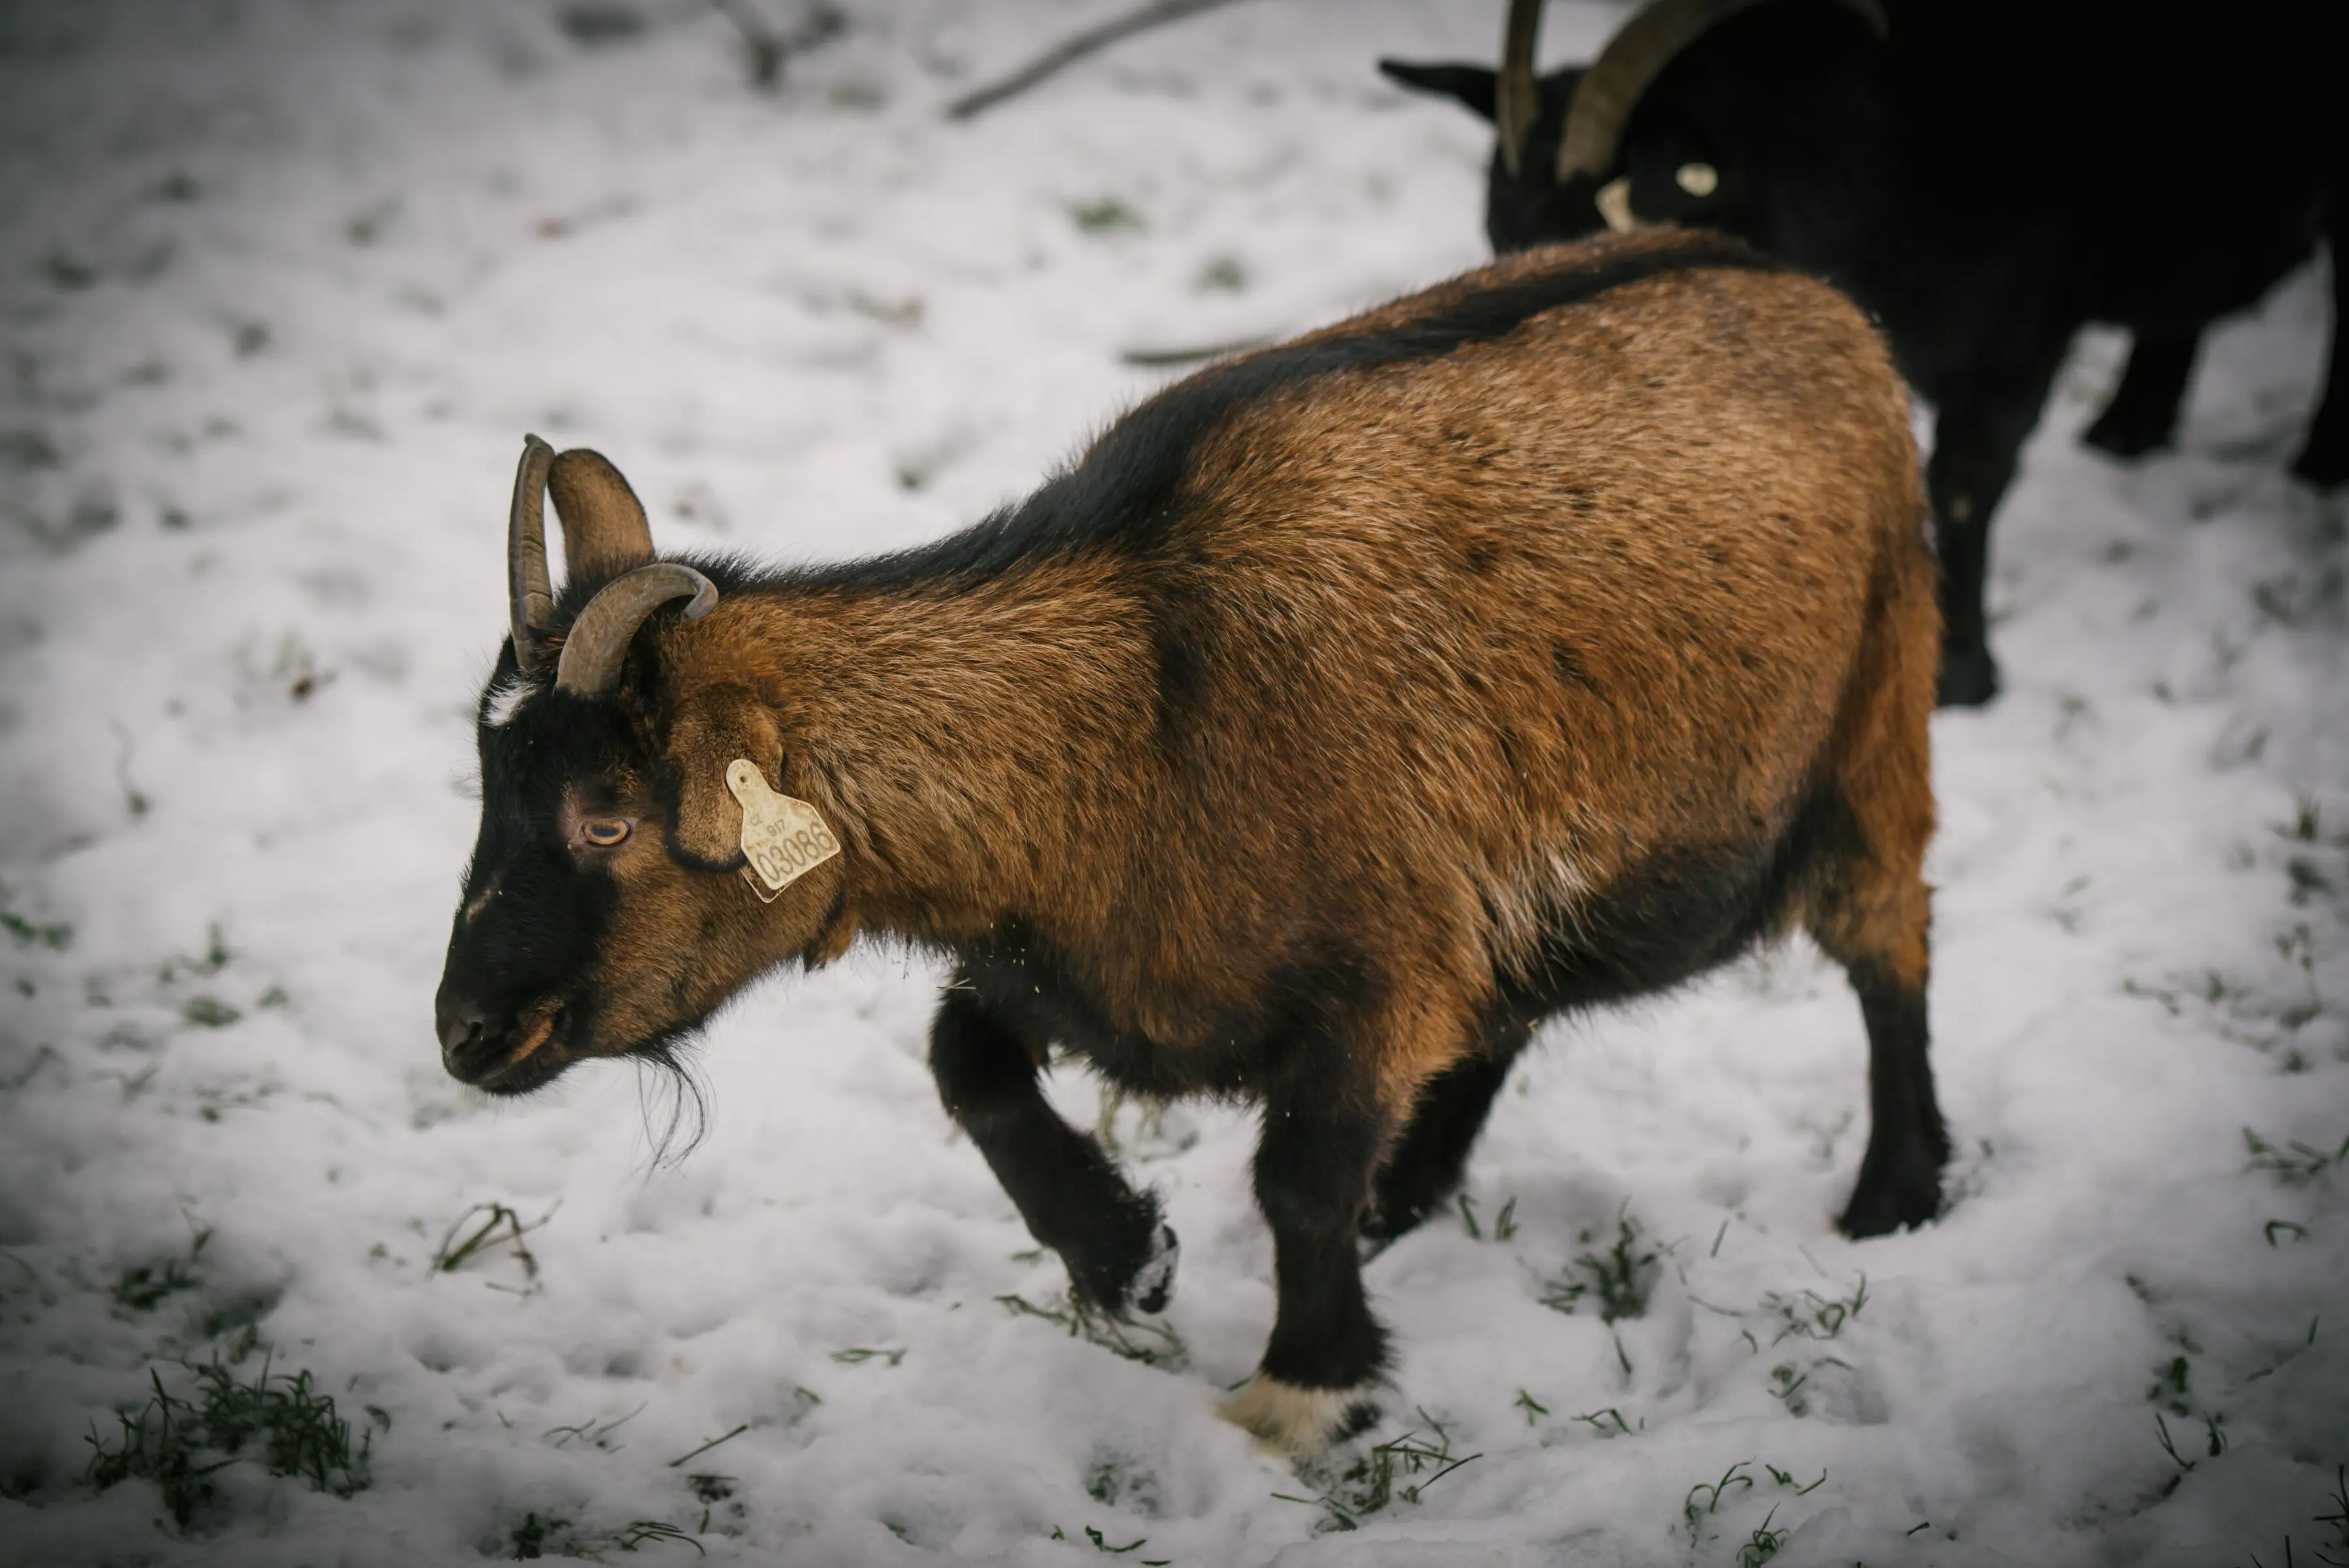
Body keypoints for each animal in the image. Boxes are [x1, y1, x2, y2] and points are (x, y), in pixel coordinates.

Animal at [433, 230, 1946, 1459]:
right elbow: (964, 1061)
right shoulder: (1091, 976)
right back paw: (1413, 1194)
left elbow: (1297, 1180)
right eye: (488, 780)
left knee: (1893, 952)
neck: (1150, 706)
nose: (466, 1034)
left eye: (608, 811)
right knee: (1512, 1010)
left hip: (1877, 731)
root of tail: (1812, 294)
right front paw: (1129, 1262)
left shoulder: (1378, 976)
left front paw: (1306, 1388)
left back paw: (1896, 1194)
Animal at [1382, 0, 2344, 707]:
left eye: (1607, 237)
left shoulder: (2020, 335)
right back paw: (2132, 428)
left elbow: (1964, 485)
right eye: (1500, 236)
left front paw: (1962, 678)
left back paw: (2314, 466)